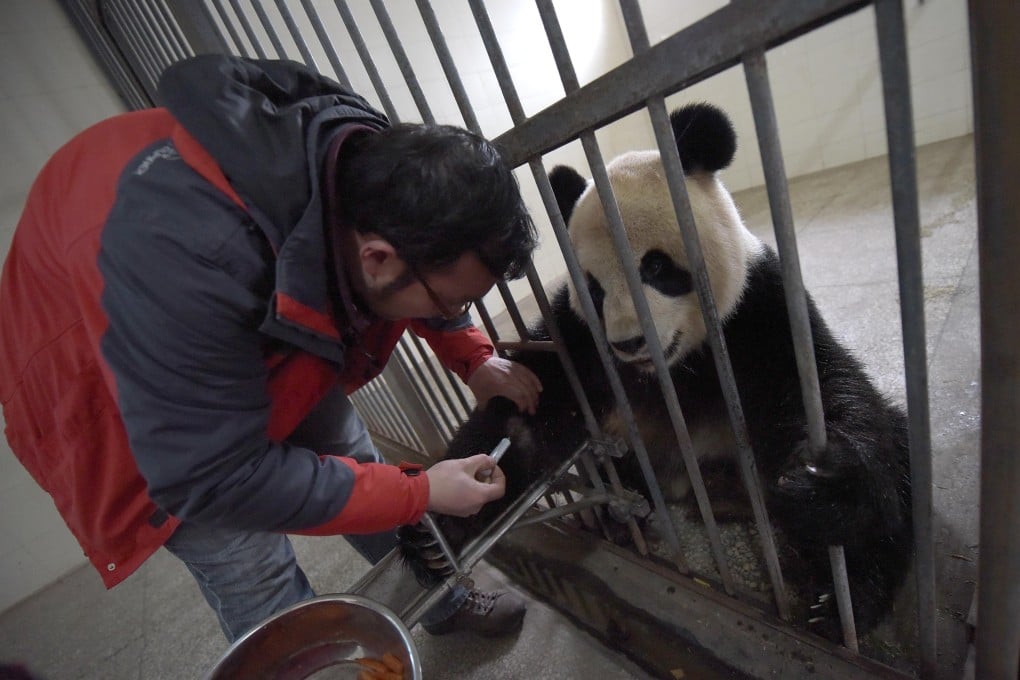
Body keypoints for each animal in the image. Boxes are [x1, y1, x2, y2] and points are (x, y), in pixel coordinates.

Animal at [400, 102, 913, 639]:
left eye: (656, 267)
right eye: (595, 288)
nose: (628, 342)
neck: (675, 366)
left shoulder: (756, 308)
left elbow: (818, 385)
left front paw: (825, 487)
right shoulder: (581, 338)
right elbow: (525, 415)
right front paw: (439, 527)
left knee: (895, 450)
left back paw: (843, 599)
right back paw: (618, 512)